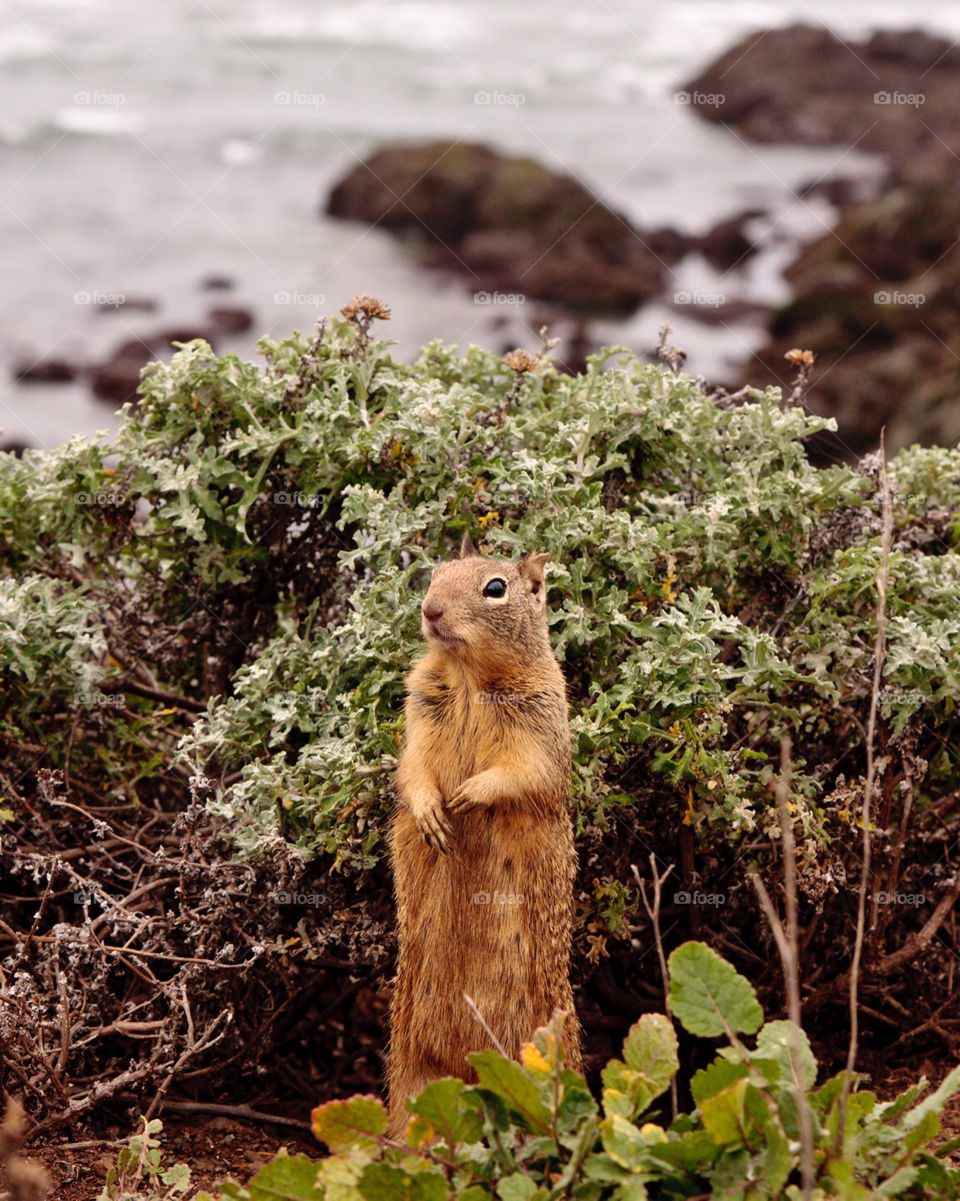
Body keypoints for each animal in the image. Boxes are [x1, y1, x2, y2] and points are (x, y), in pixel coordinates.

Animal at [386, 535, 581, 1133]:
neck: (468, 672)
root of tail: (468, 1070)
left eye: (495, 588)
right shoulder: (419, 716)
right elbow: (413, 770)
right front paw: (432, 812)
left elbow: (521, 773)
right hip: (408, 1063)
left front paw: (471, 795)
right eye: (434, 573)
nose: (430, 610)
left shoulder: (540, 727)